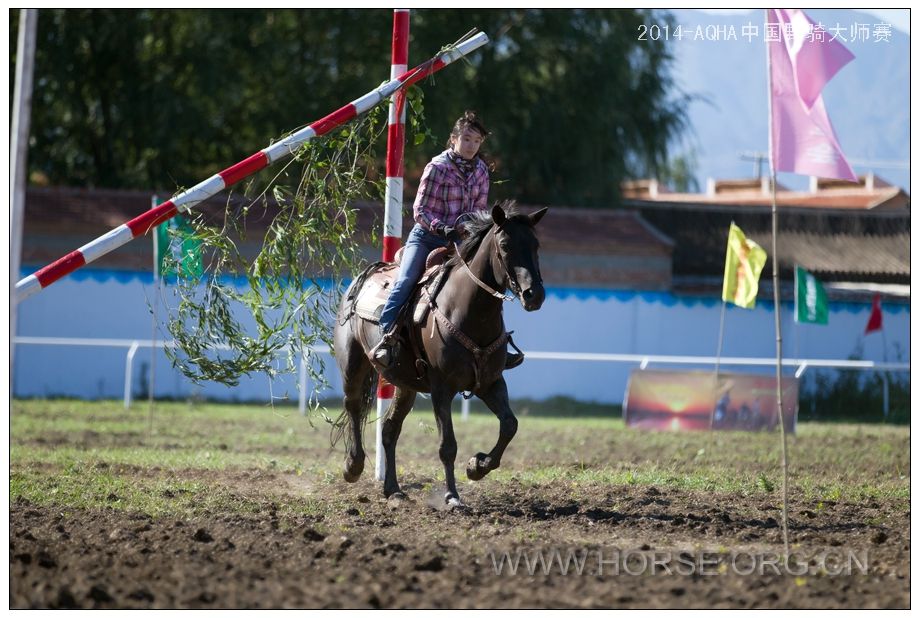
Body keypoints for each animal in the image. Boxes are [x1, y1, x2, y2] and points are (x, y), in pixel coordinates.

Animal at [332, 202, 544, 506]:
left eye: (535, 244)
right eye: (504, 244)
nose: (534, 295)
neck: (470, 312)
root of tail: (359, 282)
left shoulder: (490, 383)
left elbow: (509, 425)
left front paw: (477, 466)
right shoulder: (441, 388)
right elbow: (448, 446)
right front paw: (452, 496)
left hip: (405, 385)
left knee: (389, 429)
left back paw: (393, 489)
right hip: (353, 364)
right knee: (353, 406)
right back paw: (353, 466)